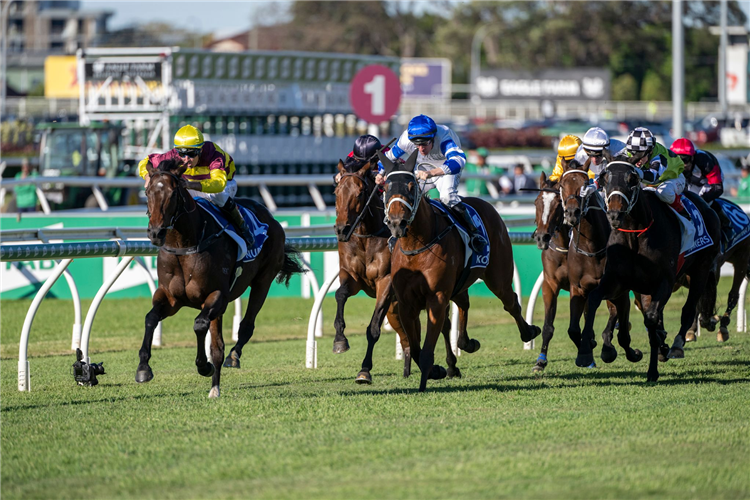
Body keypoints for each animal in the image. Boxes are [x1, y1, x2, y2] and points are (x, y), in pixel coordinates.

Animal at [138, 158, 306, 396]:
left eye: (172, 193)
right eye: (147, 192)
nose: (155, 233)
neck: (185, 245)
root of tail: (271, 219)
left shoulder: (217, 295)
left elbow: (200, 325)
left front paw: (204, 366)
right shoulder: (171, 298)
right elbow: (150, 318)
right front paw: (143, 368)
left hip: (262, 281)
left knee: (246, 325)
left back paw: (232, 358)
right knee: (217, 342)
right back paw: (215, 385)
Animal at [334, 159, 458, 382]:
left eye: (359, 193)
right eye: (336, 191)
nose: (341, 229)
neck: (367, 238)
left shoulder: (386, 281)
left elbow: (374, 328)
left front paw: (364, 370)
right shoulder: (351, 276)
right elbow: (340, 294)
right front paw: (339, 340)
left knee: (442, 324)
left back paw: (448, 366)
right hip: (397, 306)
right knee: (407, 333)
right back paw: (412, 367)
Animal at [382, 150, 540, 392]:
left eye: (411, 186)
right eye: (386, 187)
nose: (396, 223)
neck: (417, 245)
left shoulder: (437, 297)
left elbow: (426, 349)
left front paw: (426, 378)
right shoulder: (407, 303)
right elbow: (416, 347)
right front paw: (437, 370)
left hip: (497, 276)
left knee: (510, 302)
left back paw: (528, 332)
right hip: (459, 285)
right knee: (462, 308)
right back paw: (461, 350)